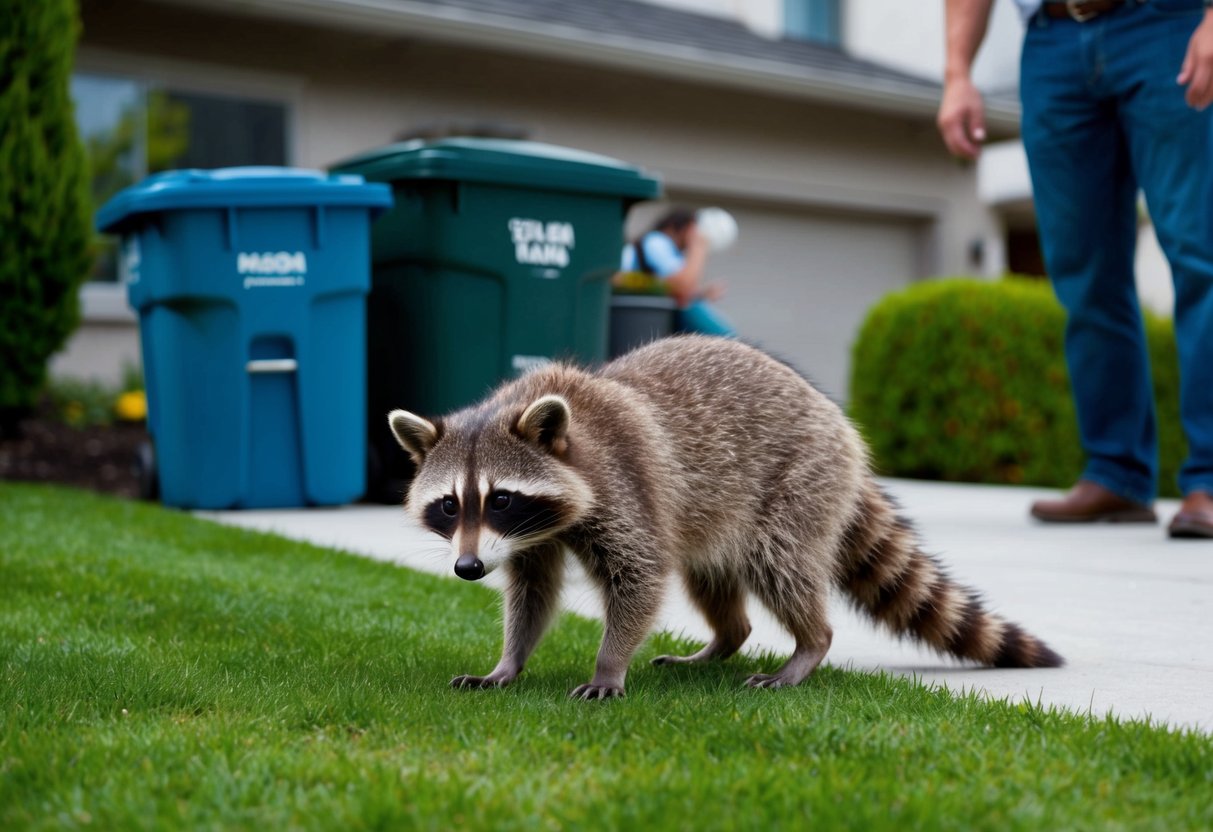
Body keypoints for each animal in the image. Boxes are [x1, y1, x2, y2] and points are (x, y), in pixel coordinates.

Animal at [388, 335, 1062, 700]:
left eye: (500, 498)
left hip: (799, 481)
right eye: (450, 504)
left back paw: (809, 645)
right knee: (710, 575)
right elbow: (532, 588)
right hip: (716, 513)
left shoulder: (622, 485)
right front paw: (508, 662)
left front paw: (609, 664)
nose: (468, 568)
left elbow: (640, 575)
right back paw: (724, 640)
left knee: (779, 565)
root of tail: (840, 426)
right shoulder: (528, 536)